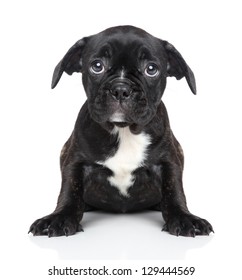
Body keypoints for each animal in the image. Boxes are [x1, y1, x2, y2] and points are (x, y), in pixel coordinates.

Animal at [28, 25, 214, 236]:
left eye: (151, 69)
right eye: (97, 66)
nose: (120, 89)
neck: (123, 130)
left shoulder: (169, 161)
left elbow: (174, 190)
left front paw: (184, 217)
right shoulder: (75, 161)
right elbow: (69, 190)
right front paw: (59, 217)